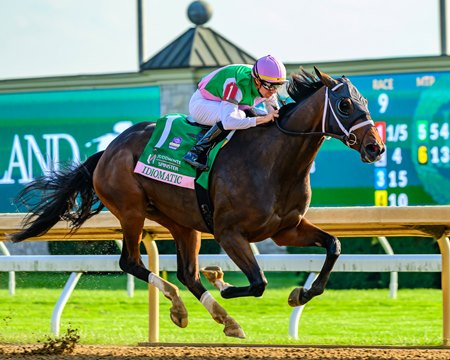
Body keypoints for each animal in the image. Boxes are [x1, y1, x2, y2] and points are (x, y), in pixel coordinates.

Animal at [8, 69, 384, 338]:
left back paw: (218, 317)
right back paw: (184, 307)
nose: (375, 147)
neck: (273, 161)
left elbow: (334, 245)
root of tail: (108, 150)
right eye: (345, 105)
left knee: (187, 273)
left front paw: (300, 294)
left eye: (365, 100)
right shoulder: (230, 232)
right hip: (131, 211)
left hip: (182, 222)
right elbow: (259, 282)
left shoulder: (286, 229)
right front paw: (222, 279)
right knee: (131, 262)